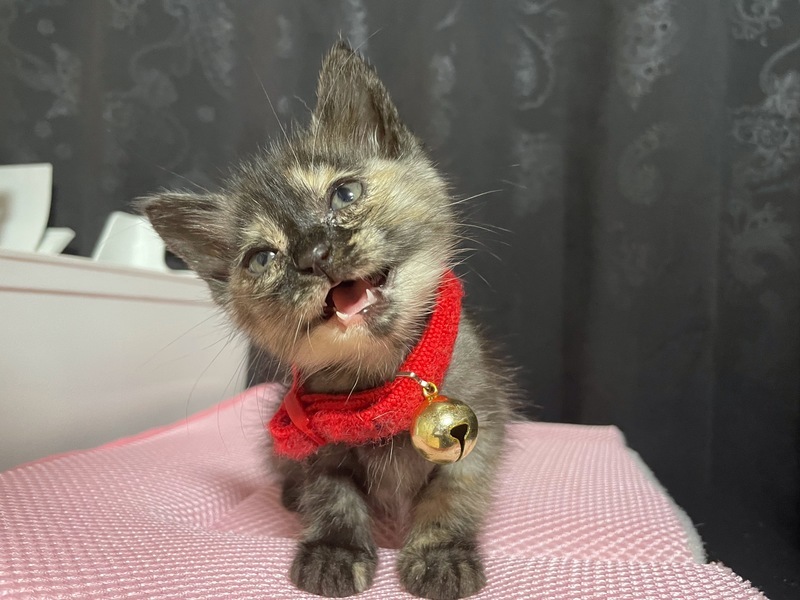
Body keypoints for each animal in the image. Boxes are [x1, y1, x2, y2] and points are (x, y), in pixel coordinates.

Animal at [138, 42, 514, 600]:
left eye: (344, 194)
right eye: (262, 258)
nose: (314, 254)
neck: (381, 384)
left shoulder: (481, 421)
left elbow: (453, 493)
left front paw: (441, 553)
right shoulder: (312, 441)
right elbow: (332, 496)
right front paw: (334, 551)